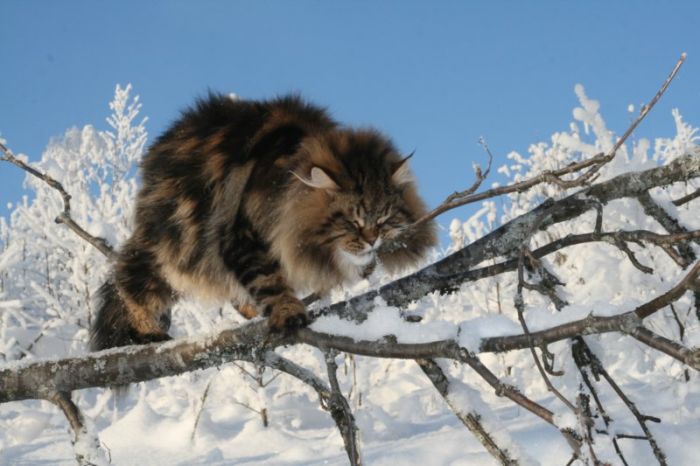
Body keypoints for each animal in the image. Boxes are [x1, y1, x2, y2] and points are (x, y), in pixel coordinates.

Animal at [90, 94, 434, 350]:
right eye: (353, 221)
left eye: (385, 219)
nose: (372, 239)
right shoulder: (240, 236)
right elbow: (268, 280)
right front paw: (288, 313)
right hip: (172, 251)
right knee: (128, 284)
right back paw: (146, 331)